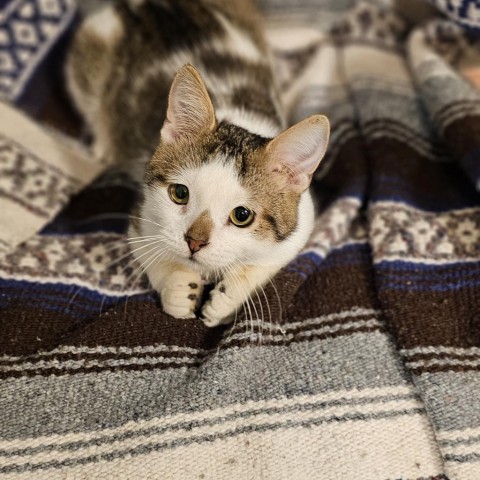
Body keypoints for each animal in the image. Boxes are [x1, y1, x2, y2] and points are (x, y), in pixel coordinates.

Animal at [66, 0, 330, 326]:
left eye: (242, 215)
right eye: (180, 193)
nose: (194, 242)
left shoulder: (302, 222)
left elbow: (268, 261)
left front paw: (226, 299)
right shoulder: (142, 213)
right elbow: (149, 249)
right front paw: (178, 287)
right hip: (90, 49)